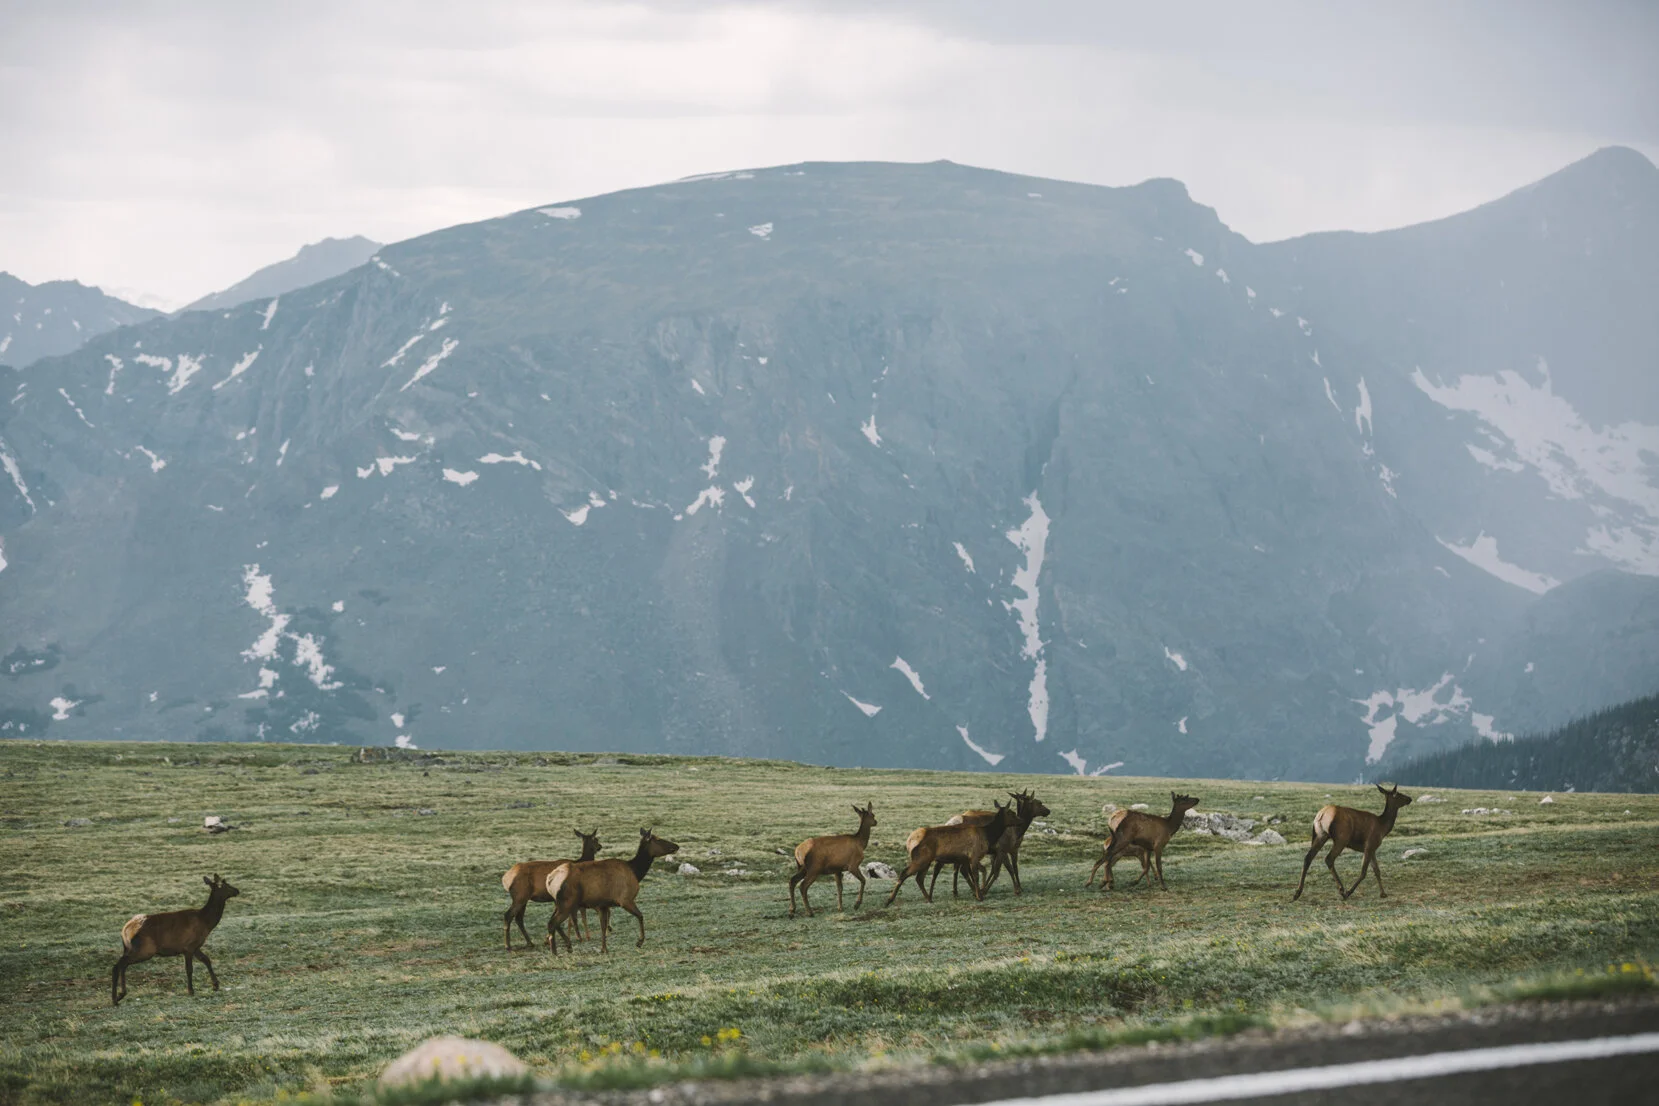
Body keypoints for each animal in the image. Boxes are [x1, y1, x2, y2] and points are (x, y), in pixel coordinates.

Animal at [111, 874, 240, 1006]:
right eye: (222, 884)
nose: (237, 890)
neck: (206, 924)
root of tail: (125, 929)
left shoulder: (196, 946)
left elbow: (207, 960)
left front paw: (215, 985)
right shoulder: (188, 946)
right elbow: (189, 969)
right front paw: (191, 991)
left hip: (130, 948)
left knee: (123, 965)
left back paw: (120, 995)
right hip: (145, 949)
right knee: (118, 965)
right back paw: (115, 998)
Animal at [546, 828, 679, 954]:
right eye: (658, 839)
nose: (676, 846)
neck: (636, 872)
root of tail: (550, 879)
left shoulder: (603, 904)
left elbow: (603, 926)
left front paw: (604, 949)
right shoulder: (625, 899)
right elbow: (640, 916)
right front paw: (639, 942)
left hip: (559, 903)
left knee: (552, 922)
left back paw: (564, 947)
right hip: (567, 902)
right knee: (553, 923)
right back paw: (557, 951)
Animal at [884, 800, 1014, 905]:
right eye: (1012, 813)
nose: (1019, 821)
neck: (987, 835)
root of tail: (909, 841)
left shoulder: (964, 858)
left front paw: (976, 893)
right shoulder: (974, 856)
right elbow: (975, 875)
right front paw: (979, 895)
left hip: (926, 861)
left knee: (919, 878)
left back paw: (929, 898)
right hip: (921, 859)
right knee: (905, 873)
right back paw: (889, 900)